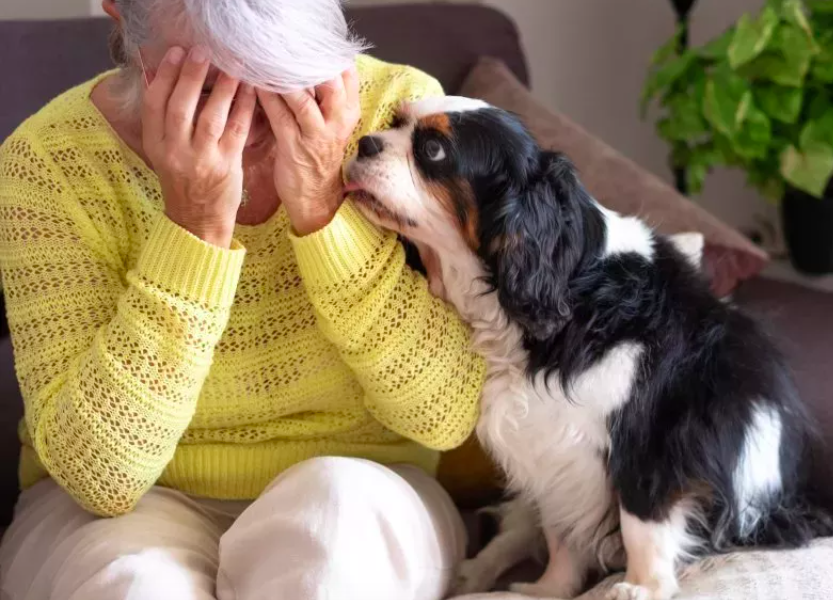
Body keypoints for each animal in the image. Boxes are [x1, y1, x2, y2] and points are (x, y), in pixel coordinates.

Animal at [342, 98, 828, 600]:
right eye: (395, 122)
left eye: (433, 150)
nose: (365, 142)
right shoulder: (553, 448)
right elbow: (562, 535)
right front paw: (548, 589)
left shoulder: (649, 438)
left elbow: (642, 523)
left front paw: (643, 587)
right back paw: (472, 574)